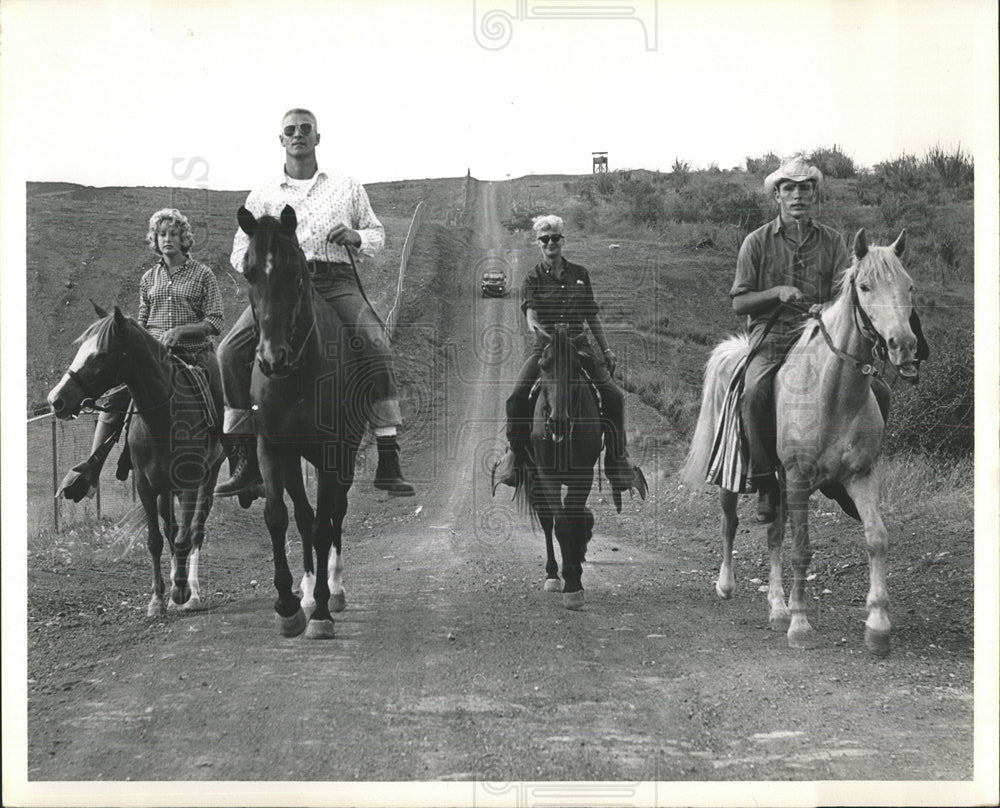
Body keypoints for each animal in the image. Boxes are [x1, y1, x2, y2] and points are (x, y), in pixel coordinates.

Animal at [47, 306, 224, 616]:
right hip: (166, 489)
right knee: (171, 529)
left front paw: (180, 592)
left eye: (101, 355)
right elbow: (155, 540)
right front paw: (157, 600)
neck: (162, 417)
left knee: (195, 532)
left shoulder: (190, 481)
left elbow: (184, 538)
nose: (56, 400)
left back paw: (192, 593)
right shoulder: (145, 484)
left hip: (207, 479)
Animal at [235, 204, 368, 636]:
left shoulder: (330, 455)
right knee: (305, 516)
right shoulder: (273, 448)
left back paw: (334, 588)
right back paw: (308, 590)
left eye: (295, 272)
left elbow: (327, 525)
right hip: (295, 460)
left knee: (335, 513)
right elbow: (279, 517)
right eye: (249, 271)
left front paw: (323, 612)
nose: (271, 357)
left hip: (343, 458)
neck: (295, 376)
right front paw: (288, 604)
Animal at [516, 322, 600, 608]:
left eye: (577, 366)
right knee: (547, 520)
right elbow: (561, 525)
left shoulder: (583, 475)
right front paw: (570, 585)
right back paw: (553, 575)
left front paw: (577, 577)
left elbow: (574, 521)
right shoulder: (547, 476)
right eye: (543, 365)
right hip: (535, 478)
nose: (558, 422)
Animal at [680, 229, 928, 656]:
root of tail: (737, 353)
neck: (833, 394)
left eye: (908, 285)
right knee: (731, 522)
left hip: (779, 487)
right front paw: (800, 625)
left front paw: (878, 626)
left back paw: (777, 608)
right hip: (735, 474)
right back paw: (727, 585)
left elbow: (876, 539)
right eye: (865, 286)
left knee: (773, 533)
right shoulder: (797, 479)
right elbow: (801, 549)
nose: (904, 346)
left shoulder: (861, 476)